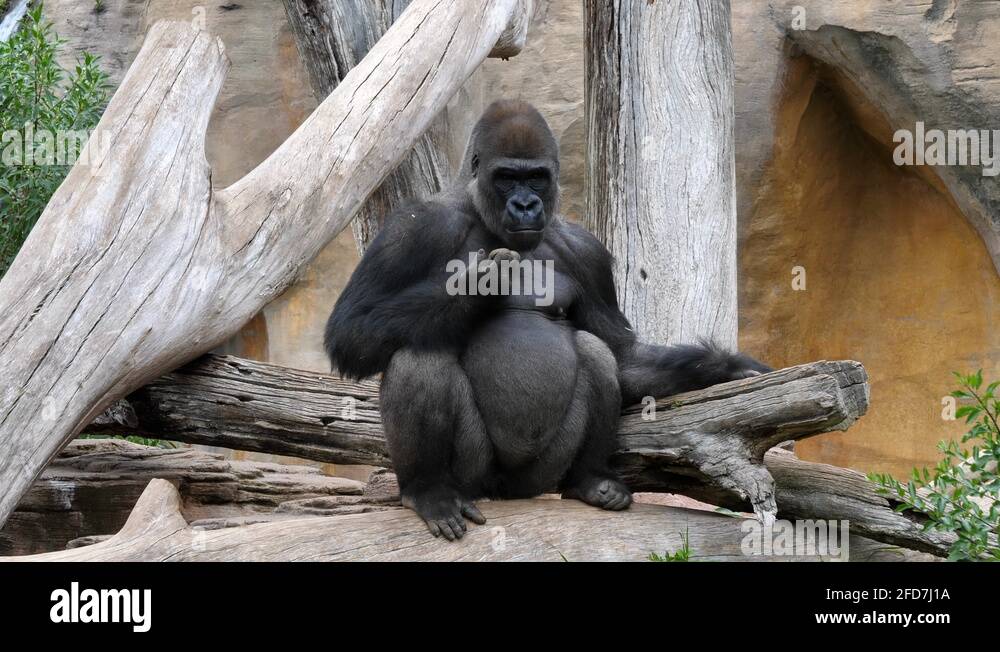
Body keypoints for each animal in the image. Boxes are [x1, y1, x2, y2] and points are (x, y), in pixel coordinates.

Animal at [325, 100, 771, 540]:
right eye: (507, 178)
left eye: (537, 178)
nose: (525, 205)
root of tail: (505, 492)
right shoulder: (412, 228)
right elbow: (351, 331)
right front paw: (479, 285)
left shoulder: (586, 250)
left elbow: (621, 352)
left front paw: (723, 367)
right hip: (475, 478)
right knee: (420, 354)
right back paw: (428, 489)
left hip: (540, 478)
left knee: (594, 351)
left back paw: (589, 480)